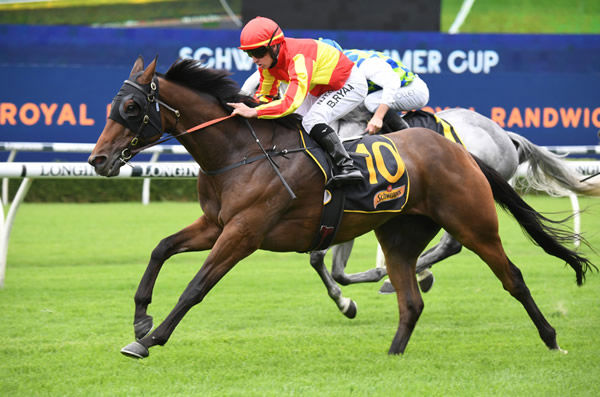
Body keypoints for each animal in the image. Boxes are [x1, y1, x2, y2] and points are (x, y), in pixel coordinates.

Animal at [88, 57, 596, 358]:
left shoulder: (244, 232)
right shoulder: (216, 224)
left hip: (473, 222)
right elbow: (160, 248)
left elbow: (196, 286)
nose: (98, 159)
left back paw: (551, 339)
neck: (243, 151)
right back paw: (394, 339)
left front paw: (150, 339)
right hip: (400, 232)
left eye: (131, 108)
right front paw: (141, 318)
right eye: (114, 103)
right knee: (412, 294)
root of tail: (463, 148)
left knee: (510, 276)